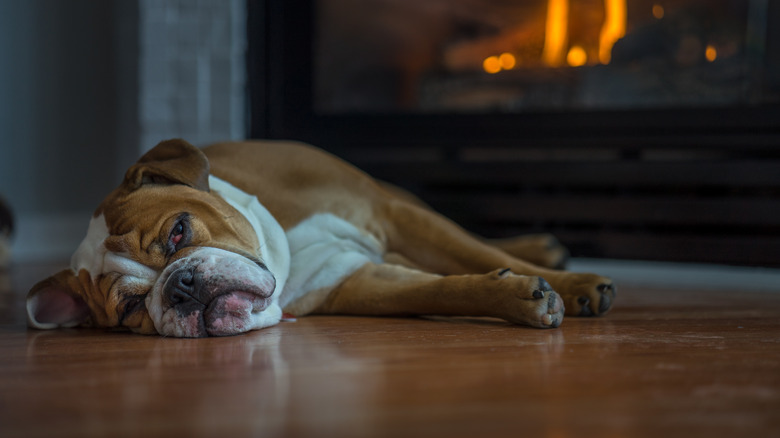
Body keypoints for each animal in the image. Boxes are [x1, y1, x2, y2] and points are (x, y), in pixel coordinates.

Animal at [24, 139, 616, 338]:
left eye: (178, 232)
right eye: (129, 310)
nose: (181, 287)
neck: (280, 247)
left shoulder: (393, 213)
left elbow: (471, 253)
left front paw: (575, 285)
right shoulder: (357, 281)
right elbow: (444, 287)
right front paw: (516, 295)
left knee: (473, 238)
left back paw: (542, 248)